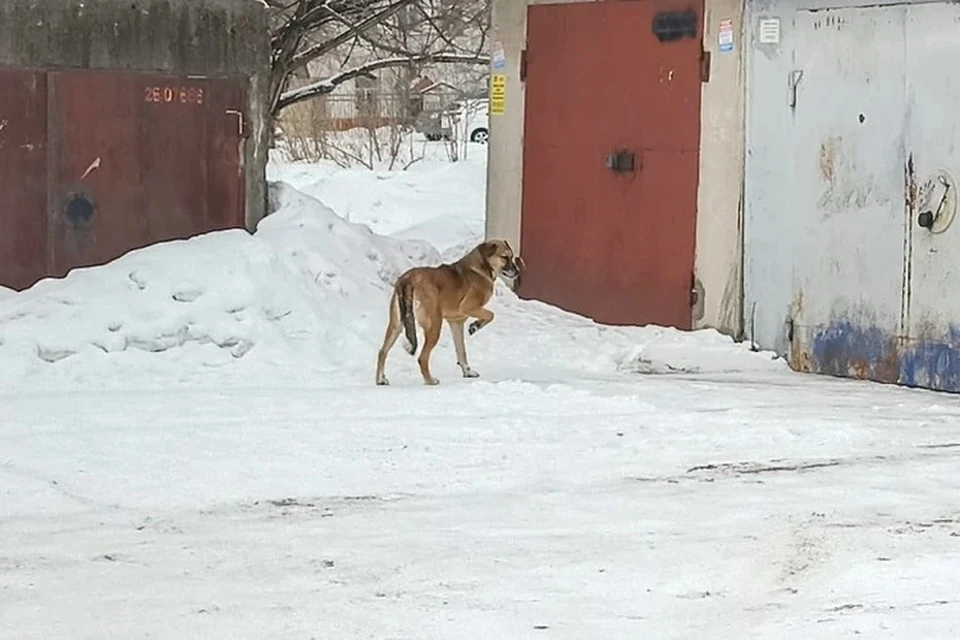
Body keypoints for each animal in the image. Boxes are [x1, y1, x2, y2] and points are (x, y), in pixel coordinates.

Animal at [376, 239, 524, 384]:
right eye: (504, 257)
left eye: (512, 256)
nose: (517, 272)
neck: (481, 267)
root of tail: (408, 279)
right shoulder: (469, 307)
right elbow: (491, 315)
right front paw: (475, 326)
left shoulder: (456, 323)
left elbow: (461, 350)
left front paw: (467, 371)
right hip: (434, 325)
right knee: (422, 357)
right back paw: (430, 380)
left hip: (396, 325)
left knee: (382, 351)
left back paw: (380, 379)